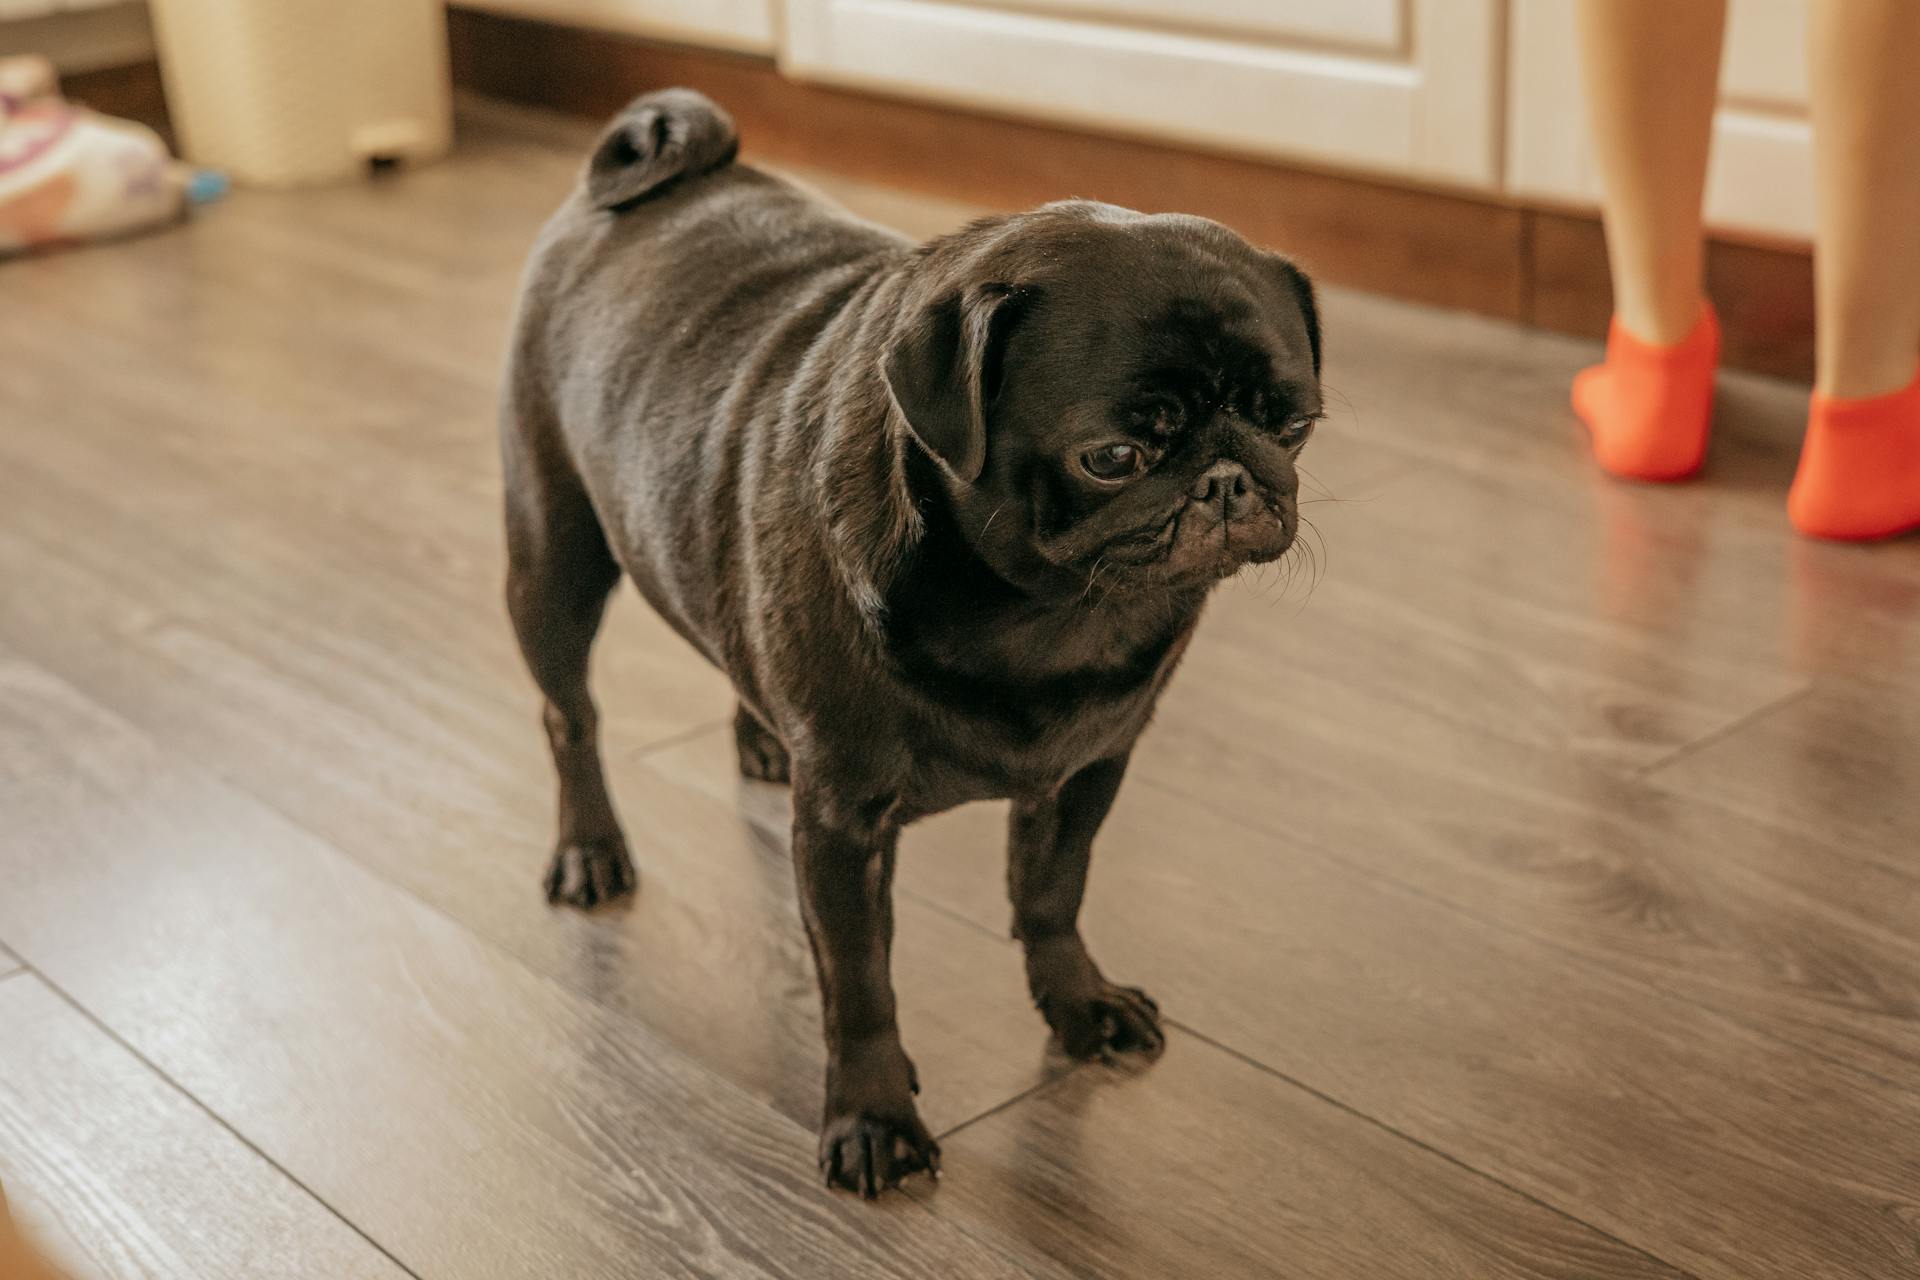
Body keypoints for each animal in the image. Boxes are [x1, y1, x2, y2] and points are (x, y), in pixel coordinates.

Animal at [499, 92, 1320, 1205]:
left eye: (1295, 423)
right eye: (1114, 456)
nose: (1232, 477)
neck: (1049, 612)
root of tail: (641, 171)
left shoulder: (1090, 769)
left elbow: (1053, 897)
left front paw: (1079, 1005)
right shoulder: (845, 823)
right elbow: (858, 982)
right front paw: (874, 1116)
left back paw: (760, 739)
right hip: (553, 556)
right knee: (569, 715)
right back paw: (590, 849)